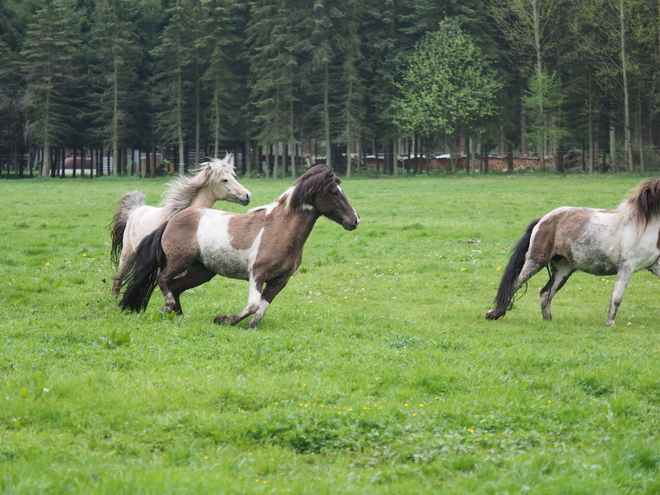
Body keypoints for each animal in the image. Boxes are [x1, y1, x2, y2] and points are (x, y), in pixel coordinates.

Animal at [109, 156, 251, 294]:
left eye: (233, 177)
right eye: (224, 180)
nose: (247, 195)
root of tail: (135, 210)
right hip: (127, 254)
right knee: (118, 279)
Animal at [116, 166, 358, 330]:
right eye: (334, 192)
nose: (354, 220)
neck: (280, 228)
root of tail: (170, 221)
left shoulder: (280, 280)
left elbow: (262, 308)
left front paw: (250, 327)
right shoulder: (257, 273)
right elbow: (253, 304)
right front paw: (223, 319)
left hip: (201, 271)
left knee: (175, 287)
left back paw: (178, 315)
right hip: (179, 262)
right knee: (163, 280)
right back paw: (168, 309)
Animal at [484, 177, 660, 326]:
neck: (644, 227)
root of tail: (544, 219)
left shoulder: (655, 266)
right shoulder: (627, 267)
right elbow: (617, 297)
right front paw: (610, 323)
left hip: (563, 269)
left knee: (545, 293)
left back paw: (548, 320)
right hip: (536, 261)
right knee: (516, 284)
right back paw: (495, 313)